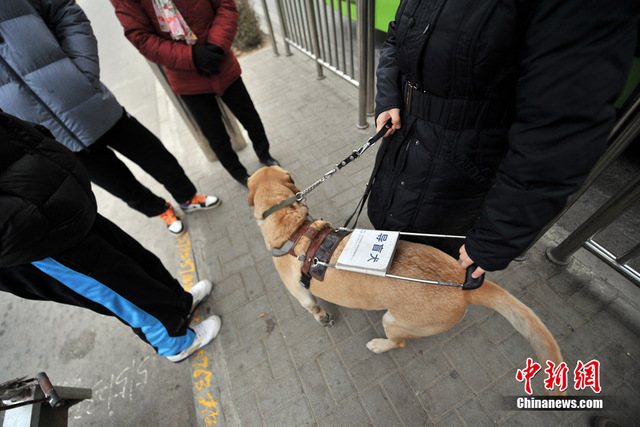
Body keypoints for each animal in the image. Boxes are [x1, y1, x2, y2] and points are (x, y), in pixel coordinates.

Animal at [248, 166, 564, 394]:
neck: (292, 227)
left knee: (398, 343)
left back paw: (379, 345)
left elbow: (313, 306)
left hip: (394, 321)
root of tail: (463, 286)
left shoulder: (301, 294)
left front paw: (323, 317)